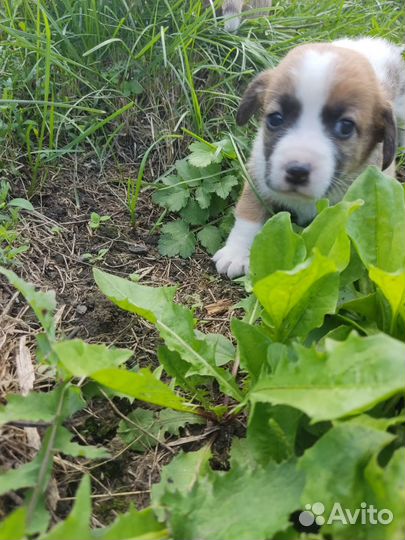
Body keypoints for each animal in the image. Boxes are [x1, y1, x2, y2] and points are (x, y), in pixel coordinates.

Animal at [213, 37, 402, 278]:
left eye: (345, 127)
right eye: (275, 119)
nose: (297, 171)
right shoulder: (258, 172)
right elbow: (248, 211)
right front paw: (236, 252)